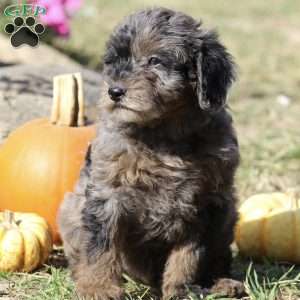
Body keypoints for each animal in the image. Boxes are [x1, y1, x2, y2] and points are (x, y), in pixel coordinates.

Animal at [58, 7, 244, 300]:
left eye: (154, 60)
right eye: (114, 61)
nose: (114, 91)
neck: (164, 132)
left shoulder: (204, 201)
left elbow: (189, 255)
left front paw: (181, 289)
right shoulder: (108, 191)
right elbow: (100, 244)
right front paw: (99, 287)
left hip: (227, 211)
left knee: (218, 254)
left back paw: (221, 282)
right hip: (71, 208)